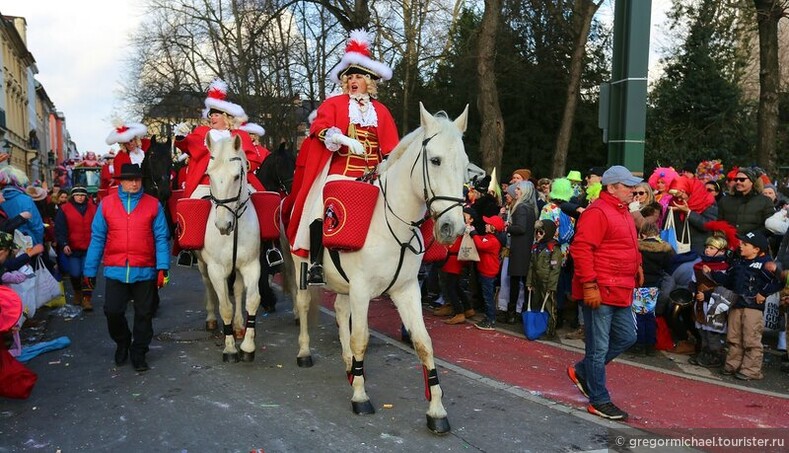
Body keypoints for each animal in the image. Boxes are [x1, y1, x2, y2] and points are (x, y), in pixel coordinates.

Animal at [196, 134, 262, 360]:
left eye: (236, 177)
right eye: (209, 175)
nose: (223, 225)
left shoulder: (251, 265)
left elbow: (252, 299)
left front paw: (248, 346)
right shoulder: (216, 269)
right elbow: (224, 306)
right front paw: (230, 347)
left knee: (238, 289)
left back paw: (239, 325)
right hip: (203, 265)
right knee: (208, 285)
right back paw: (211, 319)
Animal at [282, 103, 468, 434]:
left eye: (466, 165)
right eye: (435, 160)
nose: (452, 228)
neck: (392, 223)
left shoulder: (407, 290)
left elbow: (424, 343)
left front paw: (436, 410)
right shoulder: (362, 289)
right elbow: (361, 338)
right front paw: (360, 397)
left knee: (340, 311)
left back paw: (349, 366)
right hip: (302, 262)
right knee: (303, 305)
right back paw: (305, 353)